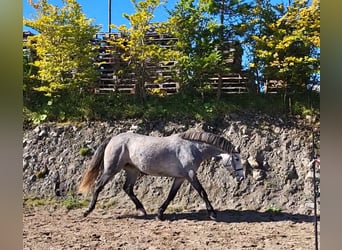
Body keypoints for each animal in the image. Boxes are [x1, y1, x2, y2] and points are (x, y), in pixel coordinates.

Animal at [78, 131, 243, 221]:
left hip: (132, 170)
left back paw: (142, 210)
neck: (192, 148)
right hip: (111, 169)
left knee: (128, 188)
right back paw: (87, 211)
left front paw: (160, 213)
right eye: (236, 158)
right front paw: (213, 214)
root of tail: (113, 139)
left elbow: (171, 195)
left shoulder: (181, 177)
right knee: (98, 186)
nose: (241, 177)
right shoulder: (190, 175)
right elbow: (203, 192)